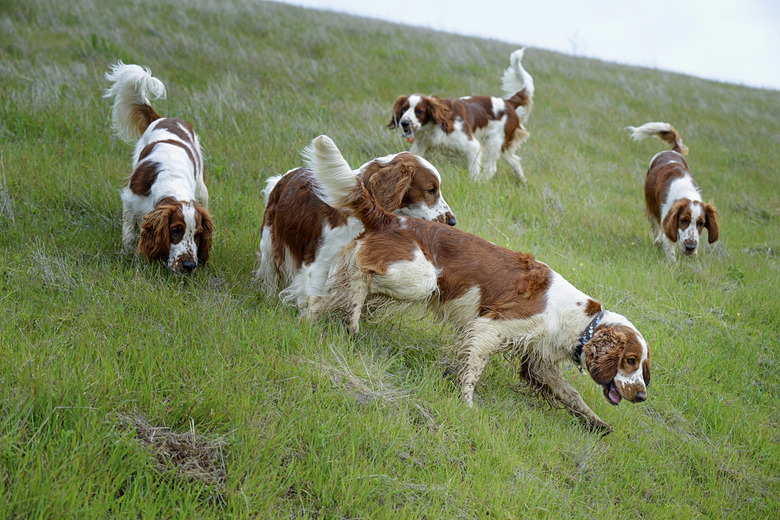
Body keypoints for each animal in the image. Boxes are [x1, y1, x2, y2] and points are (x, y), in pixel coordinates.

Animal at [105, 63, 213, 274]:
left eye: (198, 234)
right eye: (175, 230)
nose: (189, 266)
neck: (172, 182)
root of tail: (164, 118)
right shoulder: (130, 199)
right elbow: (129, 234)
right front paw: (127, 257)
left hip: (202, 190)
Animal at [254, 150, 458, 304]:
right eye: (431, 190)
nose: (452, 221)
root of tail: (284, 177)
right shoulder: (319, 262)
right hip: (270, 242)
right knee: (270, 273)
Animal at [386, 47, 532, 185]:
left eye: (419, 111)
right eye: (404, 108)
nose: (404, 123)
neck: (434, 126)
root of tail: (508, 102)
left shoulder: (473, 146)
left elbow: (473, 171)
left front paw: (474, 184)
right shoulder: (421, 146)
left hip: (494, 142)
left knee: (491, 168)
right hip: (502, 146)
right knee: (515, 160)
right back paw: (523, 181)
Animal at [628, 121, 720, 260]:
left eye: (701, 223)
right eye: (683, 220)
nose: (690, 247)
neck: (686, 193)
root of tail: (672, 151)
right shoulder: (667, 219)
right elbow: (669, 246)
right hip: (652, 207)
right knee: (656, 228)